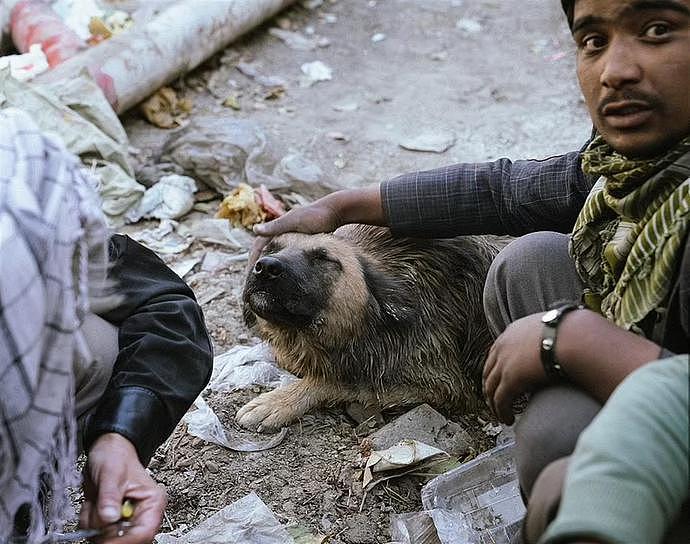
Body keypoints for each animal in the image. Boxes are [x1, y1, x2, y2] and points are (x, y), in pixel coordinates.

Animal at [235, 223, 500, 432]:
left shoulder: (445, 383)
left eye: (323, 258)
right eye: (271, 248)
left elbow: (339, 380)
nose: (266, 267)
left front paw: (278, 402)